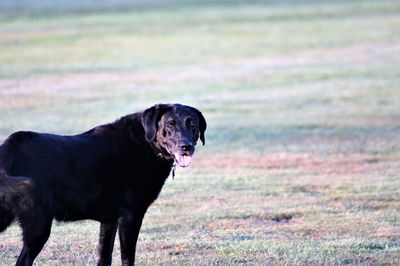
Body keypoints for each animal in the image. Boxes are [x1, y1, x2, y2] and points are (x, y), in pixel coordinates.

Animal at [0, 104, 206, 266]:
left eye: (193, 124)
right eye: (170, 124)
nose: (186, 147)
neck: (148, 144)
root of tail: (9, 148)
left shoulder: (109, 221)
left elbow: (104, 257)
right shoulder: (131, 217)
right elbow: (127, 258)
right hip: (38, 227)